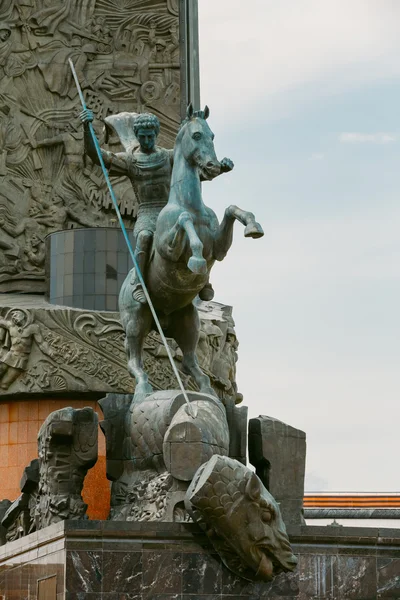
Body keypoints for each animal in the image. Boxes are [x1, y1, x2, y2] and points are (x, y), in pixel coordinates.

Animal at [117, 105, 264, 400]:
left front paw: (254, 227)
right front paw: (196, 260)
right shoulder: (168, 249)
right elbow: (184, 223)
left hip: (187, 324)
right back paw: (144, 389)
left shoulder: (219, 248)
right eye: (196, 135)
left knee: (187, 362)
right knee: (134, 361)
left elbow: (231, 209)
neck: (190, 203)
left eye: (212, 135)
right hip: (136, 322)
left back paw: (208, 393)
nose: (213, 166)